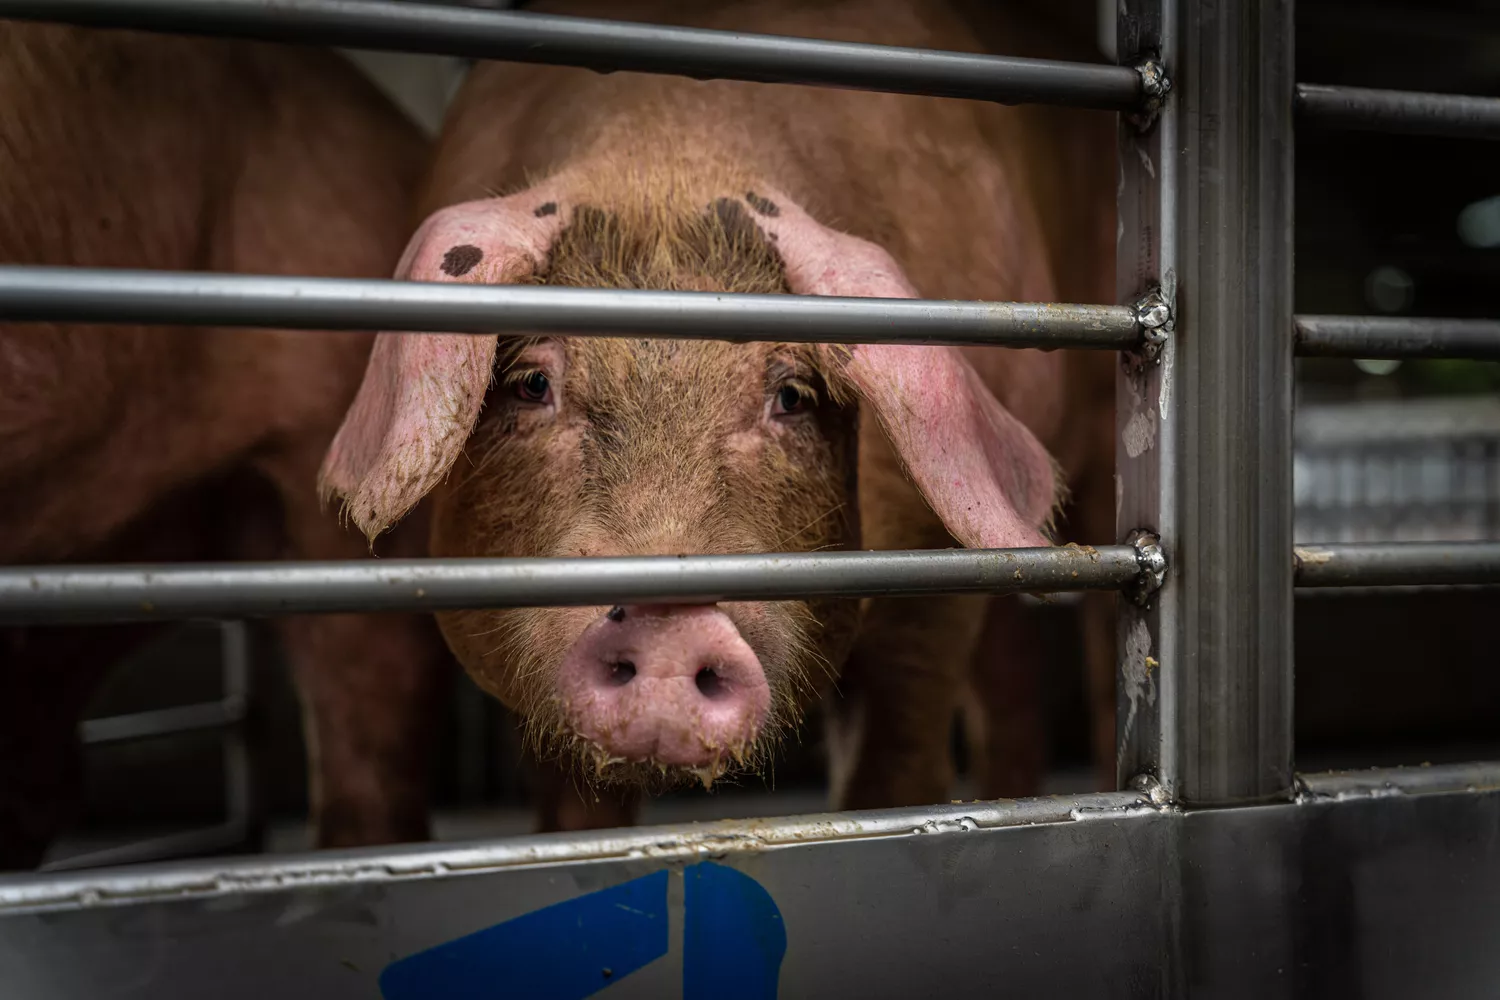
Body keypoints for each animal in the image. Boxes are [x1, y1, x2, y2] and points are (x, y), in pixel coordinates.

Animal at [325, 0, 1128, 827]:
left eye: (792, 396)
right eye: (531, 384)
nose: (671, 623)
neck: (665, 153)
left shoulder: (931, 582)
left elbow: (896, 760)